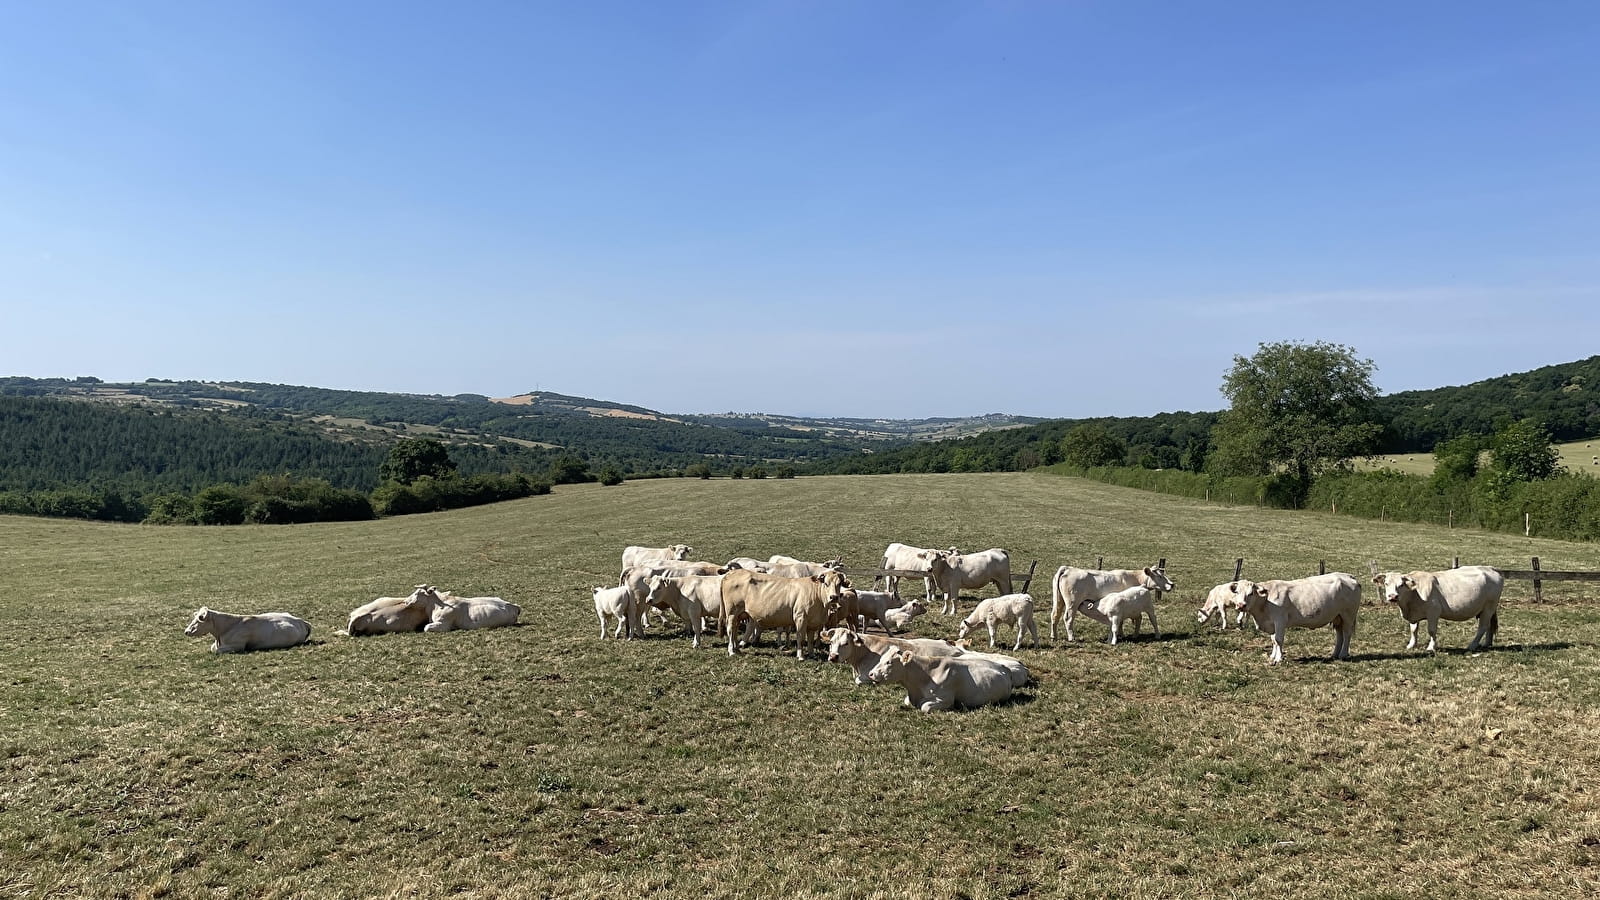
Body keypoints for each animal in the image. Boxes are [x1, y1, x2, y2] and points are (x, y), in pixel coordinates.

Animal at [870, 646, 1017, 711]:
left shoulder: (946, 699)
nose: (871, 673)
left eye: (889, 662)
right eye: (881, 659)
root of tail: (1004, 668)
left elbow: (925, 706)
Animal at [1049, 563, 1177, 640]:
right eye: (1159, 576)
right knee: (1068, 618)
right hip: (1072, 603)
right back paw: (1071, 637)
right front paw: (1121, 634)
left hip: (1058, 600)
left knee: (1055, 615)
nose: (1172, 584)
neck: (1134, 577)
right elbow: (1123, 621)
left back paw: (1054, 636)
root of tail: (1068, 568)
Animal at [1222, 570, 1363, 662]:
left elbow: (1278, 640)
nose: (1241, 605)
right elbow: (1273, 640)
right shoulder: (1273, 624)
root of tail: (1349, 576)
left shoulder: (1280, 621)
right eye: (1237, 592)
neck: (1266, 600)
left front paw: (1278, 659)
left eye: (1251, 593)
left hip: (1348, 615)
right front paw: (1273, 656)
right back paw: (1335, 654)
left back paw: (1343, 654)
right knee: (1340, 634)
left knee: (1347, 634)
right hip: (1337, 617)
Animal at [1369, 563, 1504, 646]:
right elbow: (1413, 630)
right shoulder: (1414, 615)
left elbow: (1431, 631)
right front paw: (1411, 645)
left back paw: (1472, 645)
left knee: (1483, 627)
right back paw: (1486, 643)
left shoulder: (1433, 612)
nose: (1393, 596)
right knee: (1489, 627)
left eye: (1401, 585)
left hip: (1489, 607)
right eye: (1386, 583)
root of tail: (1491, 568)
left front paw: (1431, 647)